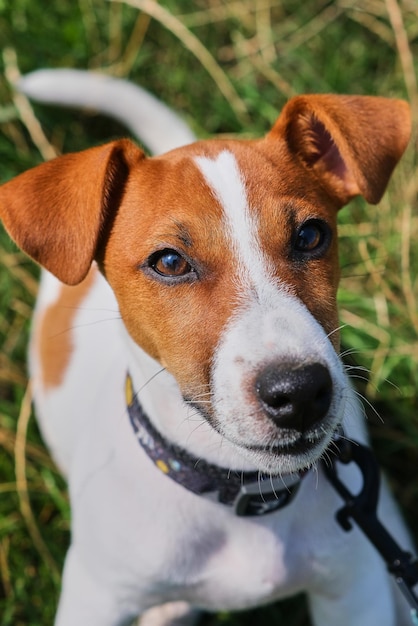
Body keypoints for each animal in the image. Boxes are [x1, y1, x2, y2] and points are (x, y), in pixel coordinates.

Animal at [0, 70, 414, 620]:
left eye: (310, 235)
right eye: (170, 262)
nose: (300, 393)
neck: (241, 491)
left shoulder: (353, 591)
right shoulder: (96, 599)